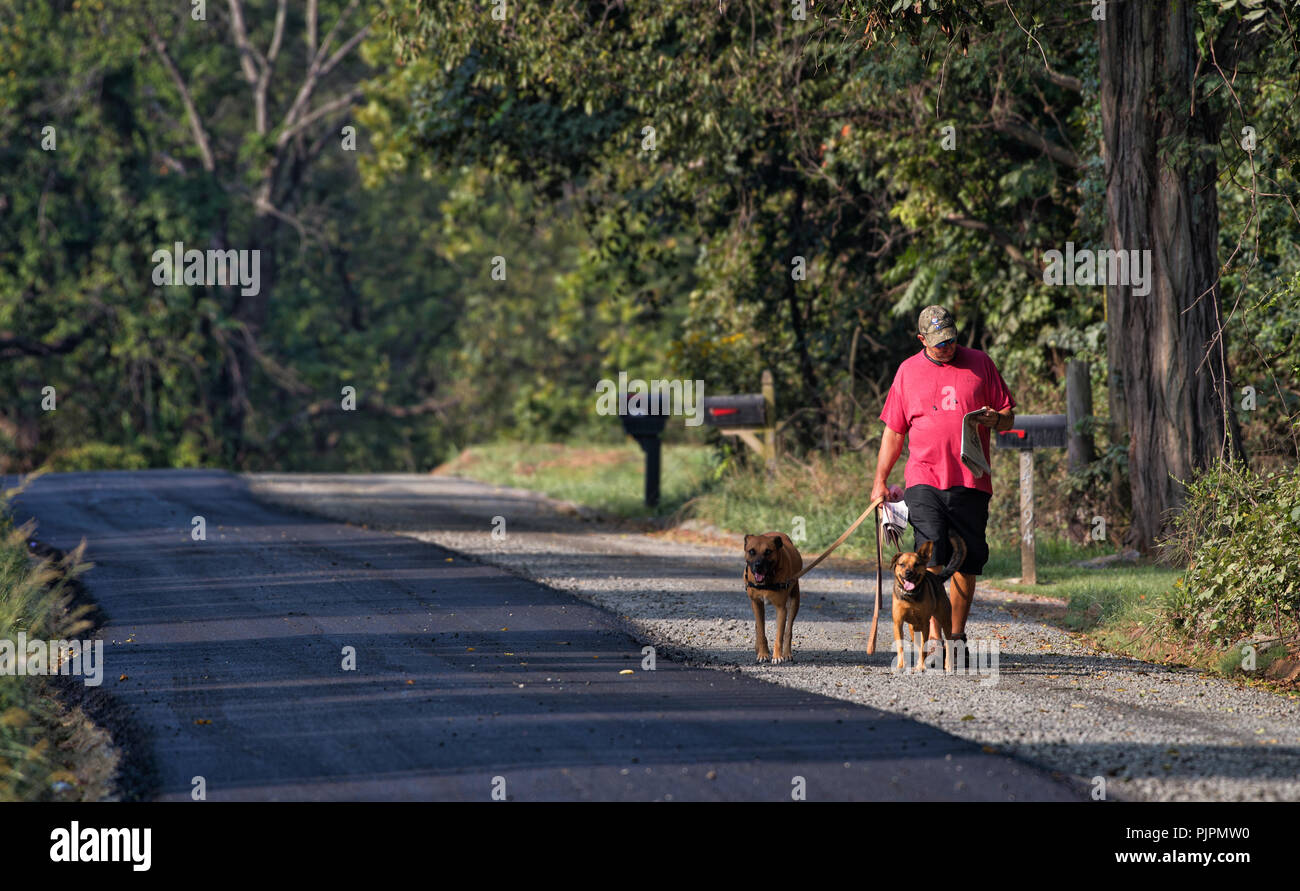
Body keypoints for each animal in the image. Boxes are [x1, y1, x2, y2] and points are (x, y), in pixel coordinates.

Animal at [743, 530, 800, 663]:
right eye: (751, 551)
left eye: (768, 551)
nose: (758, 565)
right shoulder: (757, 604)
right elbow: (760, 631)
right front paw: (763, 653)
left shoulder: (781, 609)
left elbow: (780, 635)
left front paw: (777, 656)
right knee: (757, 627)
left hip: (795, 601)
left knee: (788, 630)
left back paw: (787, 653)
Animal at [894, 530, 967, 671]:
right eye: (902, 564)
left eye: (916, 564)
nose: (908, 573)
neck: (911, 595)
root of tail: (938, 578)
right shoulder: (898, 622)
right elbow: (901, 646)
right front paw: (900, 665)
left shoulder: (925, 624)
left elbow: (924, 648)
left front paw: (921, 666)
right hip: (913, 628)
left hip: (945, 620)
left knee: (949, 643)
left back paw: (948, 664)